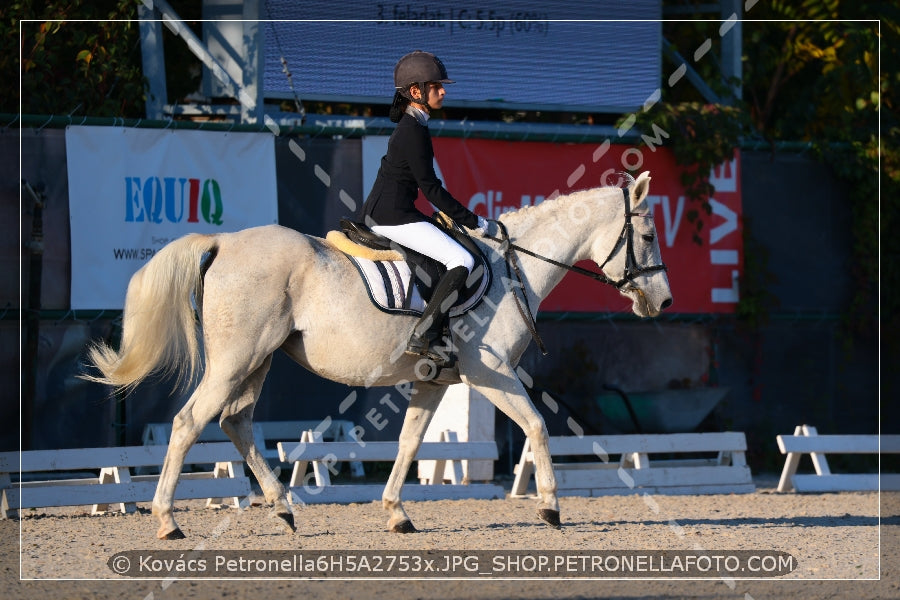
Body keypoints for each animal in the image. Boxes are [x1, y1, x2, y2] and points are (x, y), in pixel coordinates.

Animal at [84, 170, 672, 540]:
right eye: (647, 233)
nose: (663, 301)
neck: (512, 268)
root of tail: (224, 241)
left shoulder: (436, 380)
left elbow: (410, 443)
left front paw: (396, 514)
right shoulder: (490, 372)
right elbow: (536, 426)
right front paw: (549, 506)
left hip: (257, 361)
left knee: (235, 422)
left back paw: (283, 509)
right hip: (235, 361)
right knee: (190, 422)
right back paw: (168, 521)